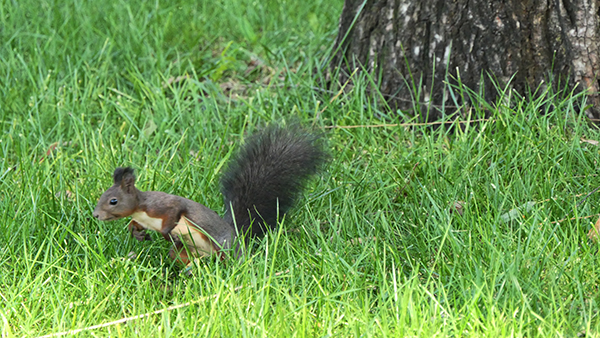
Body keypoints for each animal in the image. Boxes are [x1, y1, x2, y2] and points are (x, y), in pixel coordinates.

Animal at [91, 125, 328, 264]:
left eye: (113, 201)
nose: (95, 215)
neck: (141, 209)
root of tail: (237, 235)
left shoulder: (162, 205)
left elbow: (175, 211)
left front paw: (166, 232)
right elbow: (134, 225)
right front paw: (137, 233)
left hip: (222, 245)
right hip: (188, 251)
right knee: (183, 257)